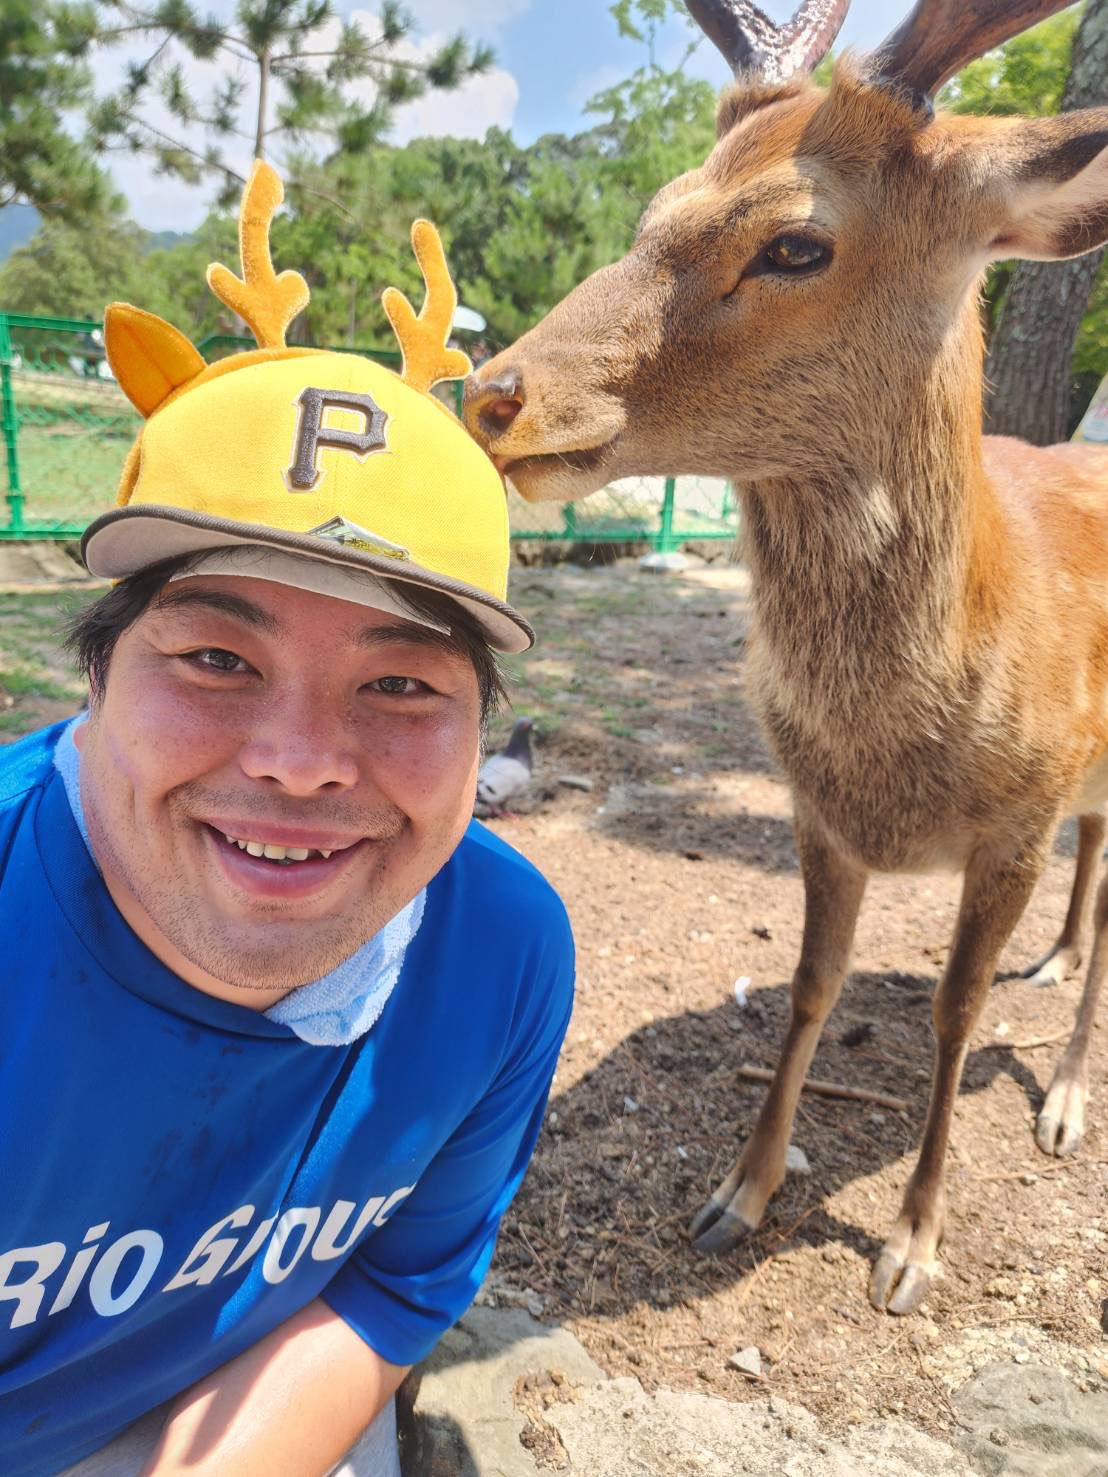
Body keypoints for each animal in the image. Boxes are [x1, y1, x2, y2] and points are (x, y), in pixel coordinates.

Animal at [462, 0, 1108, 1316]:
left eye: (797, 244)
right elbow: (812, 984)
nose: (492, 393)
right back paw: (1054, 961)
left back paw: (1064, 1096)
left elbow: (953, 1011)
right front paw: (737, 1192)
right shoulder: (815, 812)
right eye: (654, 210)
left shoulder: (1015, 821)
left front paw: (911, 1244)